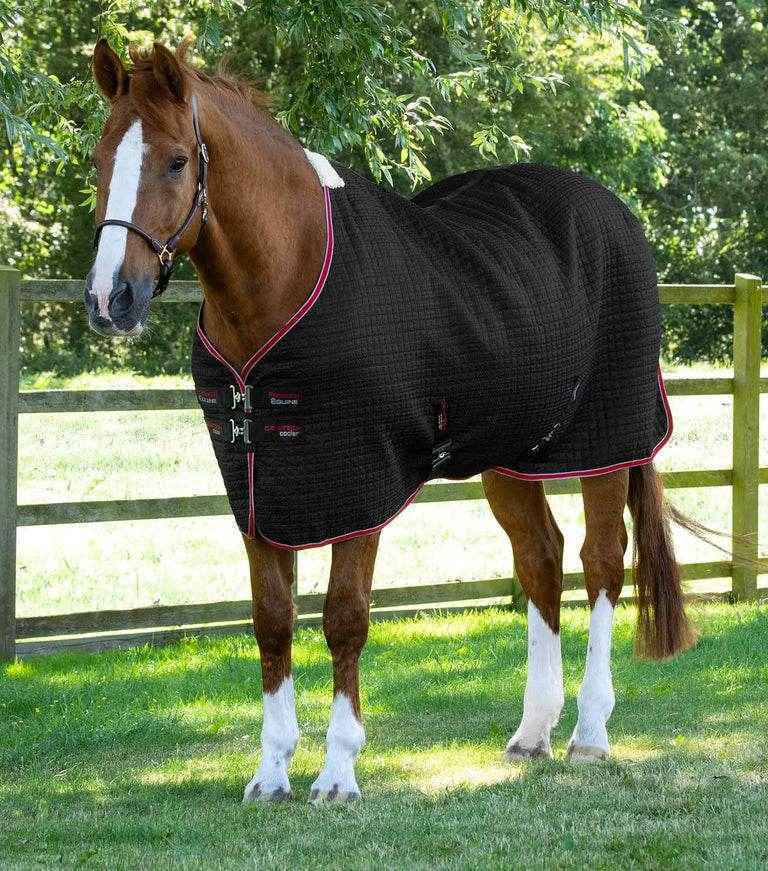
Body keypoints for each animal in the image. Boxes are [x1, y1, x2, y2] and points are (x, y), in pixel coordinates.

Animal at [84, 38, 697, 803]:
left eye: (174, 160)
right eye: (98, 160)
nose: (110, 298)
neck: (290, 275)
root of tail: (614, 213)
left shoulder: (361, 485)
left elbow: (344, 618)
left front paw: (338, 772)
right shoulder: (258, 488)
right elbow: (271, 620)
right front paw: (271, 771)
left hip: (604, 445)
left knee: (603, 561)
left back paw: (589, 732)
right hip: (510, 456)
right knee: (541, 559)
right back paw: (533, 731)